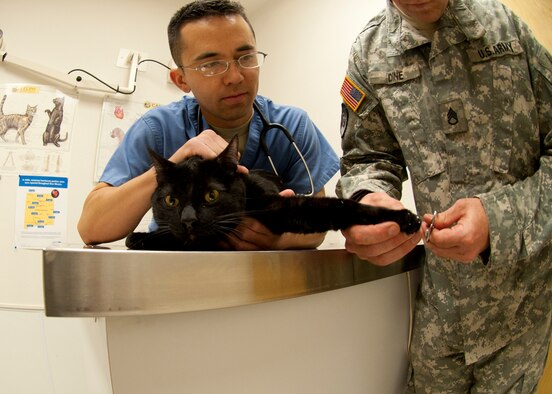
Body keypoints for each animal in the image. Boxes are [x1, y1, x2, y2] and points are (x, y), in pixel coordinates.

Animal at [126, 135, 418, 251]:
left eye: (211, 196)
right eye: (171, 200)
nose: (188, 220)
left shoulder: (282, 208)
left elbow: (336, 207)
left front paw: (402, 218)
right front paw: (141, 237)